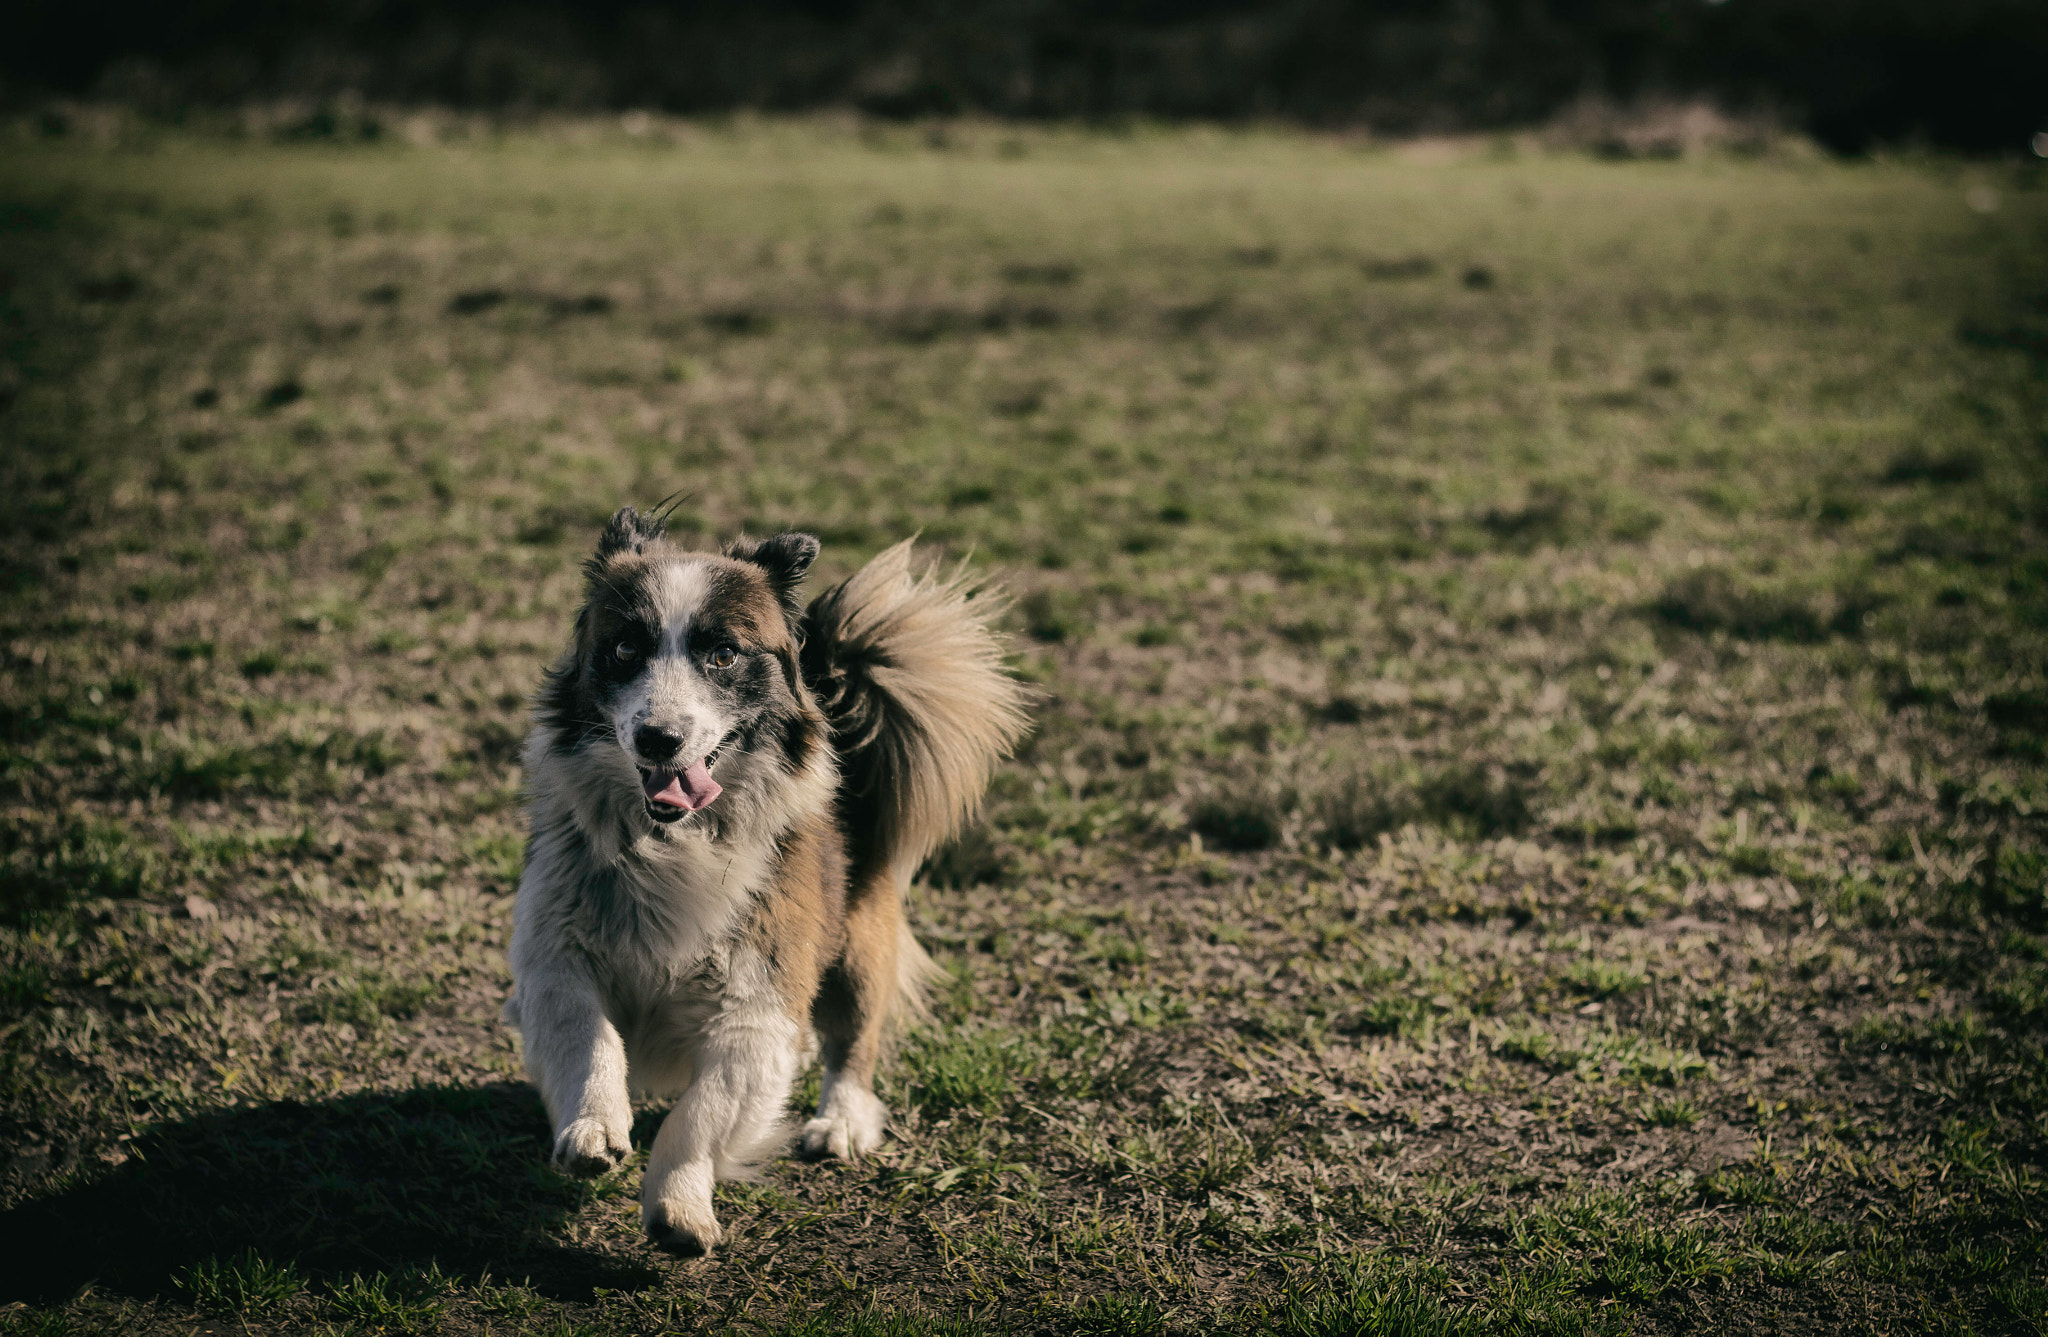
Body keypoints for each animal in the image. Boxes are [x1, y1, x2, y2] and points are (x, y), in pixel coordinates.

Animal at [505, 507, 1032, 1253]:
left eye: (723, 654)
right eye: (625, 648)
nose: (659, 738)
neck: (674, 842)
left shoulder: (759, 997)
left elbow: (701, 1111)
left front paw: (679, 1206)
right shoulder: (556, 950)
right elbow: (587, 1036)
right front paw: (593, 1126)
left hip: (858, 948)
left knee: (855, 1037)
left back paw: (839, 1121)